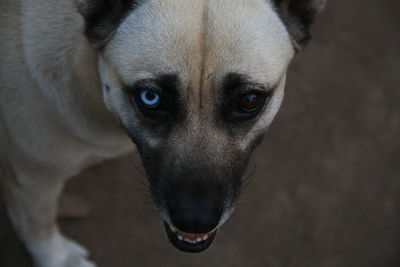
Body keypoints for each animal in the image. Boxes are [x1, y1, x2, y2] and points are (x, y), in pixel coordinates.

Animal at [0, 0, 324, 266]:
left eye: (249, 100)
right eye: (150, 98)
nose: (196, 220)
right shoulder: (34, 178)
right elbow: (38, 225)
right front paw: (59, 259)